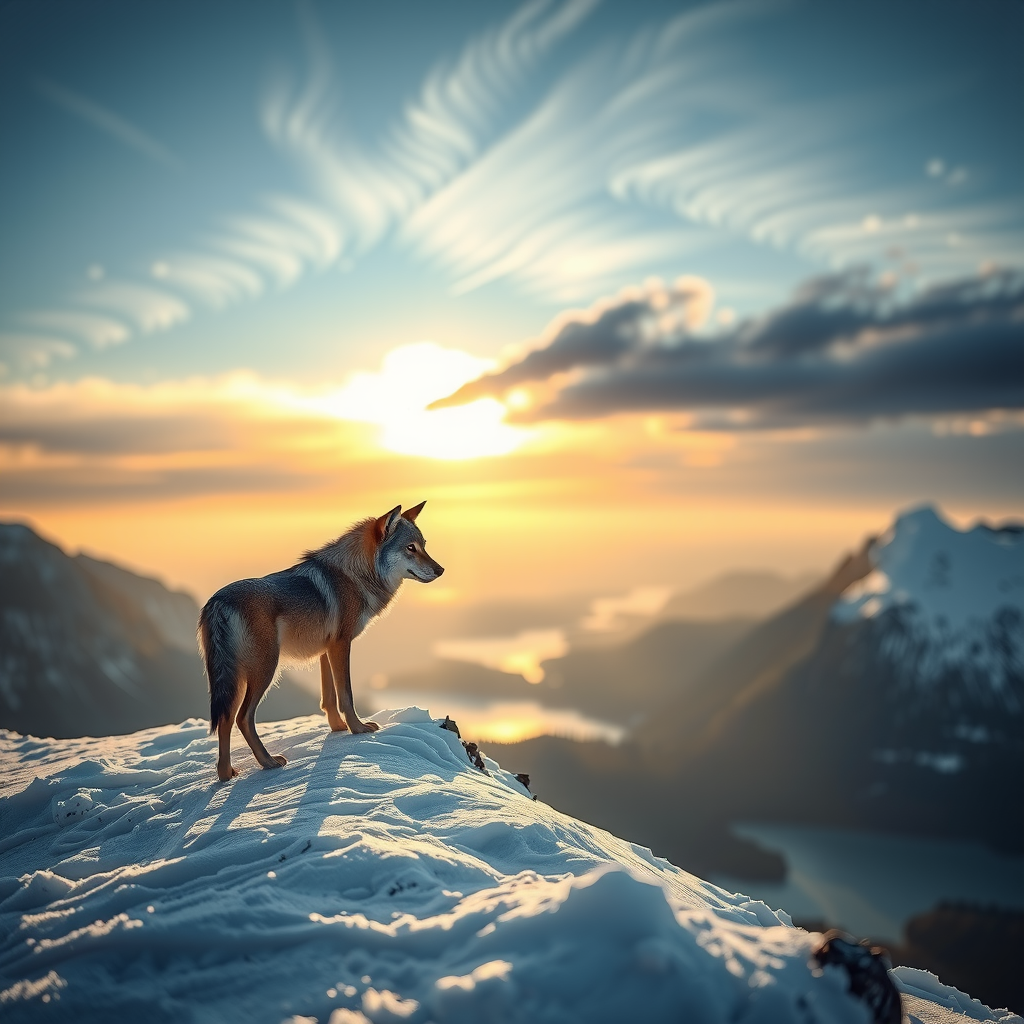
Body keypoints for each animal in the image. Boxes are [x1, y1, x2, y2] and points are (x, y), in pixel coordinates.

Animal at [198, 502, 443, 780]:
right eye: (410, 548)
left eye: (423, 545)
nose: (441, 570)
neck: (355, 575)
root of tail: (217, 602)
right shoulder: (341, 645)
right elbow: (346, 694)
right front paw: (358, 729)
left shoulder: (326, 649)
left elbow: (329, 698)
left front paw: (338, 729)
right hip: (264, 671)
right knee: (243, 719)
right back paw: (268, 762)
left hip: (234, 679)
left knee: (225, 720)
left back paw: (226, 774)